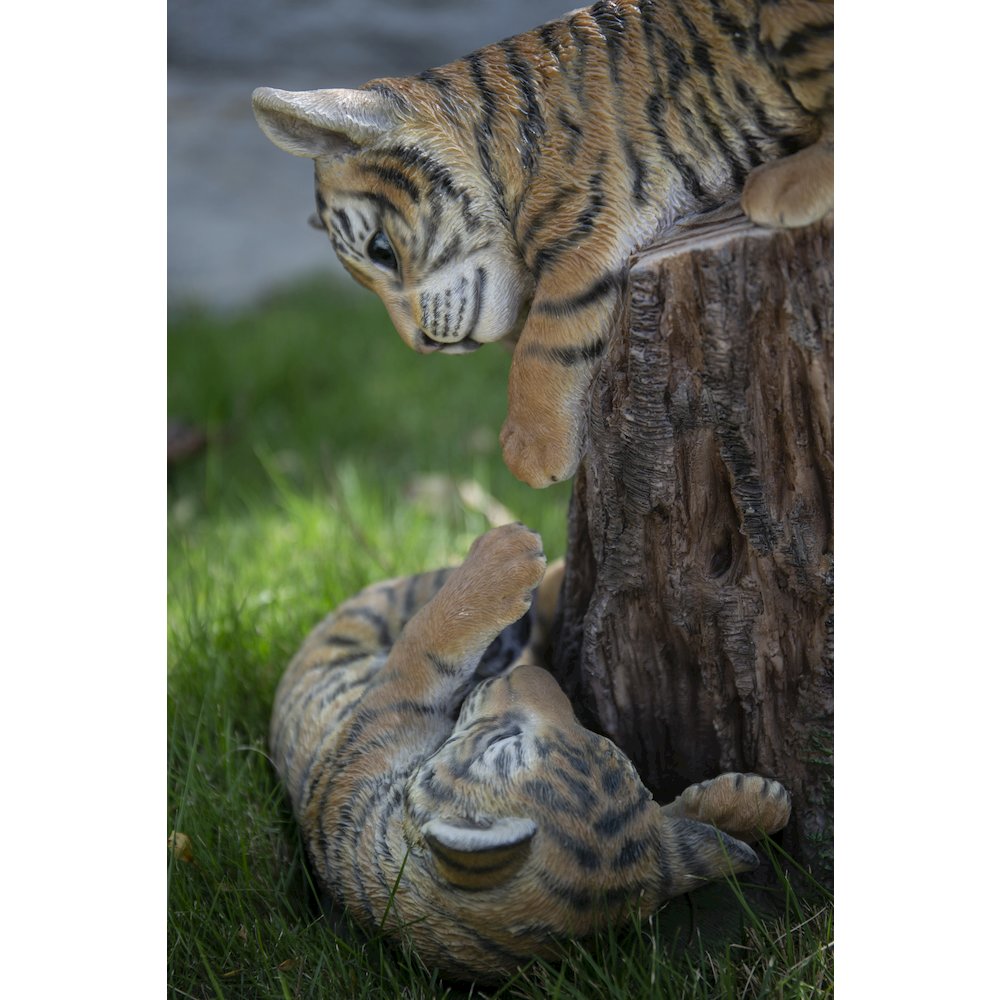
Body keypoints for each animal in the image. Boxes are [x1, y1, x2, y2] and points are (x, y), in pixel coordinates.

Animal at [252, 0, 834, 489]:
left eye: (381, 250)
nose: (421, 344)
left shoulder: (586, 222)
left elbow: (545, 340)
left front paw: (531, 451)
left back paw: (782, 185)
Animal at [272, 522, 792, 979]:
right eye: (503, 741)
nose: (536, 673)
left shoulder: (386, 710)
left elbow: (422, 644)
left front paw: (752, 805)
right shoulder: (376, 727)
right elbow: (426, 642)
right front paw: (758, 806)